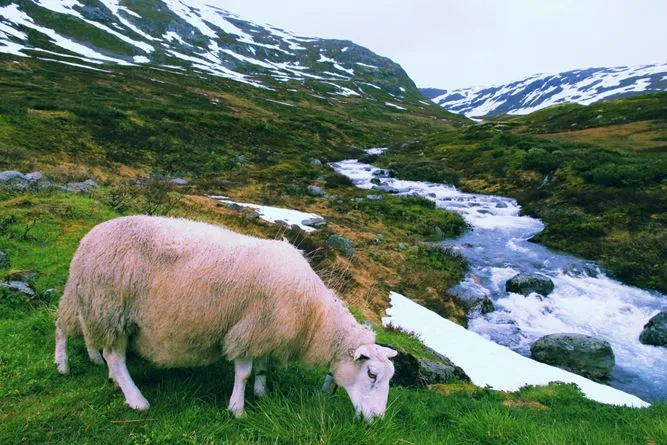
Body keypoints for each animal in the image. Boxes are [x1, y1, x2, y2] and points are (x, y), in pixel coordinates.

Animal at [54, 215, 397, 420]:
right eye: (371, 374)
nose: (377, 420)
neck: (313, 316)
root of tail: (91, 235)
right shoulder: (248, 329)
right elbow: (243, 373)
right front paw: (237, 408)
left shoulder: (266, 333)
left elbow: (262, 368)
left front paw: (262, 393)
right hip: (111, 307)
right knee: (108, 353)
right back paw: (125, 393)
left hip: (92, 303)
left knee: (76, 330)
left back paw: (91, 364)